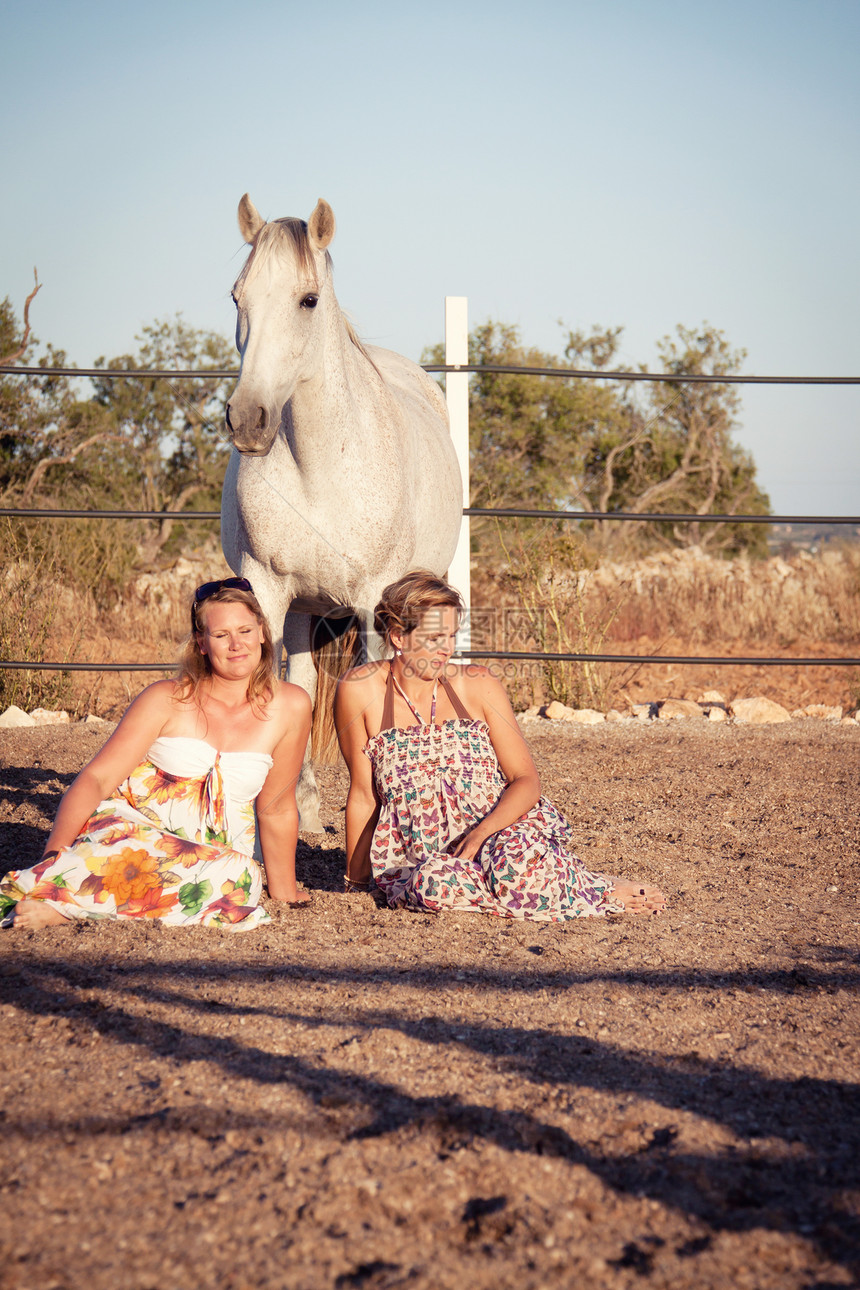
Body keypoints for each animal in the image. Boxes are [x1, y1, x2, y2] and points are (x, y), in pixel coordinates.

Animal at [221, 196, 464, 830]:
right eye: (237, 296)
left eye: (308, 299)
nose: (247, 418)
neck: (321, 468)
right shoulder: (267, 589)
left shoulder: (375, 600)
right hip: (303, 607)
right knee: (305, 680)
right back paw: (305, 805)